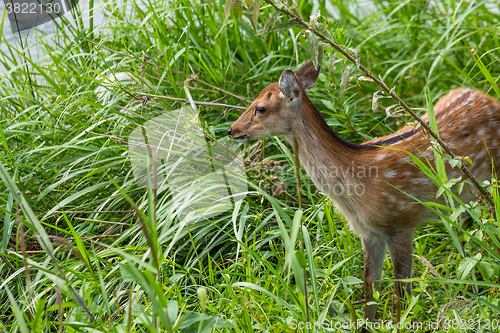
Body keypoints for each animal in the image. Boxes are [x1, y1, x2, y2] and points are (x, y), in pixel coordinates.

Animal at [228, 59, 500, 324]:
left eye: (260, 108)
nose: (231, 130)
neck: (356, 189)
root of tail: (488, 98)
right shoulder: (368, 233)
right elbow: (370, 288)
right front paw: (368, 324)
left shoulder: (401, 222)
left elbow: (401, 291)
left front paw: (401, 323)